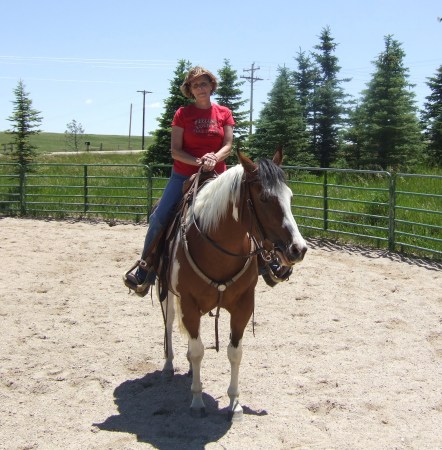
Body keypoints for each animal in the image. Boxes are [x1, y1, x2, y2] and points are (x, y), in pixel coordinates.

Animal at [159, 149, 308, 420]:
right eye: (264, 198)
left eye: (289, 196)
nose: (298, 249)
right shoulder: (188, 304)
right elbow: (198, 351)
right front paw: (197, 401)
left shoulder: (243, 306)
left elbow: (234, 352)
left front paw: (235, 403)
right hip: (167, 292)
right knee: (169, 323)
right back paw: (168, 365)